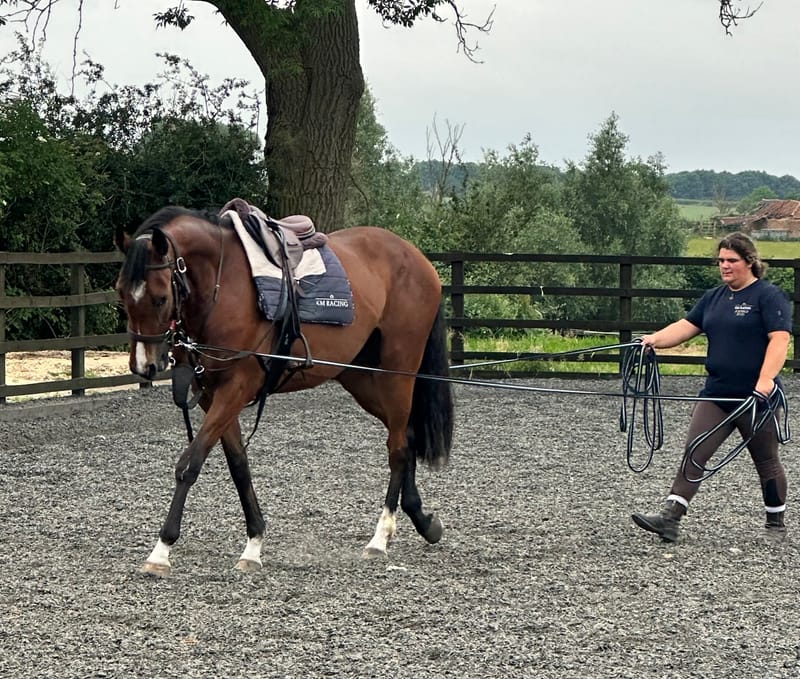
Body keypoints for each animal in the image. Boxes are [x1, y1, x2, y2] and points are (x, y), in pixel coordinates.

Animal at [115, 205, 454, 576]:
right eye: (121, 295)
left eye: (160, 298)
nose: (144, 366)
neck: (223, 284)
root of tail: (418, 259)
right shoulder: (211, 395)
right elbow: (238, 466)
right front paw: (254, 543)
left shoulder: (235, 389)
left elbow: (190, 463)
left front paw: (161, 550)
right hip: (362, 379)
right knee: (406, 436)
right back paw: (423, 521)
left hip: (398, 375)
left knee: (398, 448)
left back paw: (380, 537)